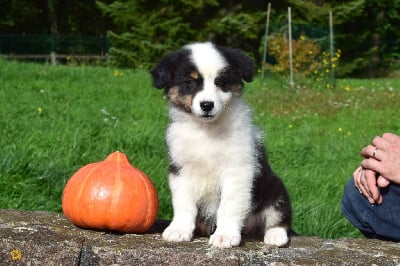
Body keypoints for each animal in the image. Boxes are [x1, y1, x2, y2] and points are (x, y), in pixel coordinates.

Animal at [150, 41, 290, 247]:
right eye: (190, 82)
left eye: (220, 81)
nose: (207, 105)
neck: (206, 130)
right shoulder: (181, 169)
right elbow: (183, 204)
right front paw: (179, 230)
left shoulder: (237, 170)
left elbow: (228, 206)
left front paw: (225, 236)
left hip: (276, 188)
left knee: (279, 216)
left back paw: (275, 236)